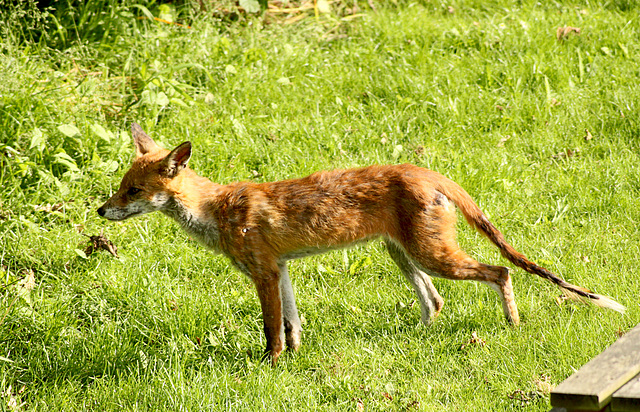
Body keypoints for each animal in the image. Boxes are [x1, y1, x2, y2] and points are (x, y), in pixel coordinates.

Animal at [97, 122, 624, 364]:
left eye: (132, 192)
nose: (100, 212)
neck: (217, 211)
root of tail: (426, 170)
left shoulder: (264, 272)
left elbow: (272, 330)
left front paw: (268, 367)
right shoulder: (281, 269)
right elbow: (293, 324)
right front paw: (293, 364)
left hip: (433, 256)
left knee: (502, 271)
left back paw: (512, 325)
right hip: (405, 255)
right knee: (435, 302)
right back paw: (417, 336)